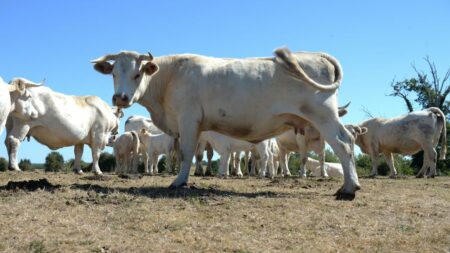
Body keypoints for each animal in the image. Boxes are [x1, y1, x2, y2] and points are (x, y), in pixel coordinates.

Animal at [93, 46, 360, 199]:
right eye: (114, 73)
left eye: (137, 74)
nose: (120, 97)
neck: (170, 78)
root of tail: (317, 55)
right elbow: (191, 155)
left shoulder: (188, 119)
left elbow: (187, 153)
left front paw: (179, 181)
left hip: (323, 115)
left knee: (344, 143)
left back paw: (349, 188)